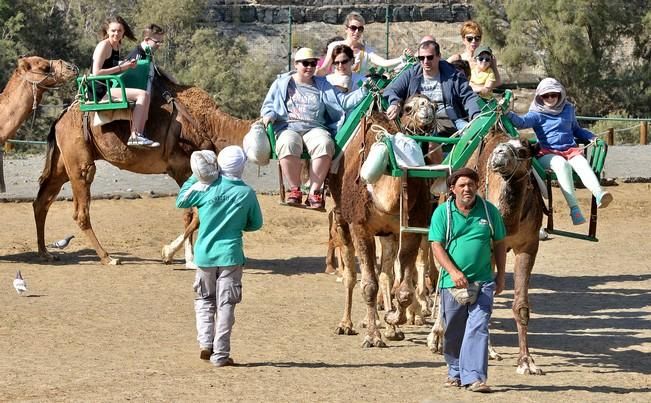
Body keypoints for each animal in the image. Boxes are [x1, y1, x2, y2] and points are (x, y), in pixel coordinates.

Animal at [33, 77, 253, 266]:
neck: (213, 126)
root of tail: (59, 119)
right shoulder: (182, 168)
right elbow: (194, 214)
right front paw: (170, 253)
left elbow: (190, 213)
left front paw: (189, 258)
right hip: (79, 159)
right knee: (80, 209)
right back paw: (107, 257)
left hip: (63, 162)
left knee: (41, 201)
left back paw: (46, 253)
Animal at [332, 94, 438, 348]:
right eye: (408, 107)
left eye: (434, 105)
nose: (427, 112)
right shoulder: (360, 227)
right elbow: (368, 284)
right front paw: (373, 336)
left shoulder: (407, 229)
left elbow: (403, 289)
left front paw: (394, 320)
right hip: (342, 221)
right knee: (351, 274)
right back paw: (346, 324)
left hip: (388, 234)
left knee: (387, 273)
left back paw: (391, 326)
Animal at [426, 132, 548, 376]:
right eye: (501, 148)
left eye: (523, 150)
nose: (499, 155)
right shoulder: (486, 250)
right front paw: (485, 351)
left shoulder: (529, 246)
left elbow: (521, 306)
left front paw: (526, 362)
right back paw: (437, 337)